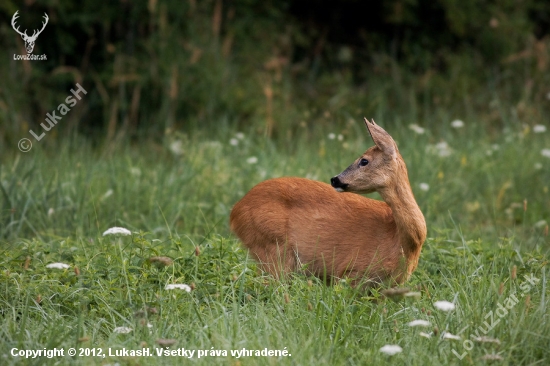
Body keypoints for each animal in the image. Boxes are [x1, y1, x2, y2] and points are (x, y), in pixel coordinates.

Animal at [229, 118, 426, 288]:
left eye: (364, 161)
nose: (335, 179)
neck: (403, 243)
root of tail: (235, 212)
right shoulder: (350, 272)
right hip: (272, 247)